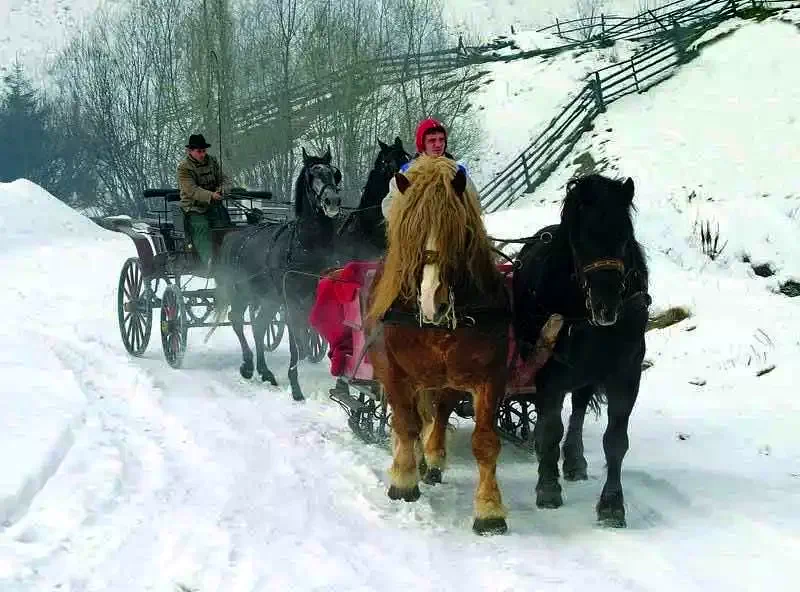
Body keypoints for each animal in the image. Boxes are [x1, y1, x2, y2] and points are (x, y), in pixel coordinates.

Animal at [216, 146, 344, 400]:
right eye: (311, 175)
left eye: (334, 174)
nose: (332, 201)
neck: (307, 245)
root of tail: (234, 236)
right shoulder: (290, 301)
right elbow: (295, 339)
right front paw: (295, 387)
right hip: (242, 293)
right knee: (237, 321)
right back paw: (248, 365)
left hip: (268, 299)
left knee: (258, 326)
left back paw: (265, 372)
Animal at [364, 155, 510, 536]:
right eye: (412, 234)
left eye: (458, 232)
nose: (434, 302)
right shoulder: (393, 371)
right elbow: (405, 424)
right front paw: (403, 480)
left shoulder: (488, 376)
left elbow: (485, 442)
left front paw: (490, 510)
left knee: (439, 413)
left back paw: (432, 457)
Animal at [512, 175, 648, 528]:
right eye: (578, 239)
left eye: (624, 236)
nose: (606, 306)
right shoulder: (547, 373)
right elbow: (549, 429)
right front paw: (547, 487)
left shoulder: (626, 375)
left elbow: (616, 440)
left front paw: (612, 504)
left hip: (586, 373)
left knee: (579, 408)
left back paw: (574, 460)